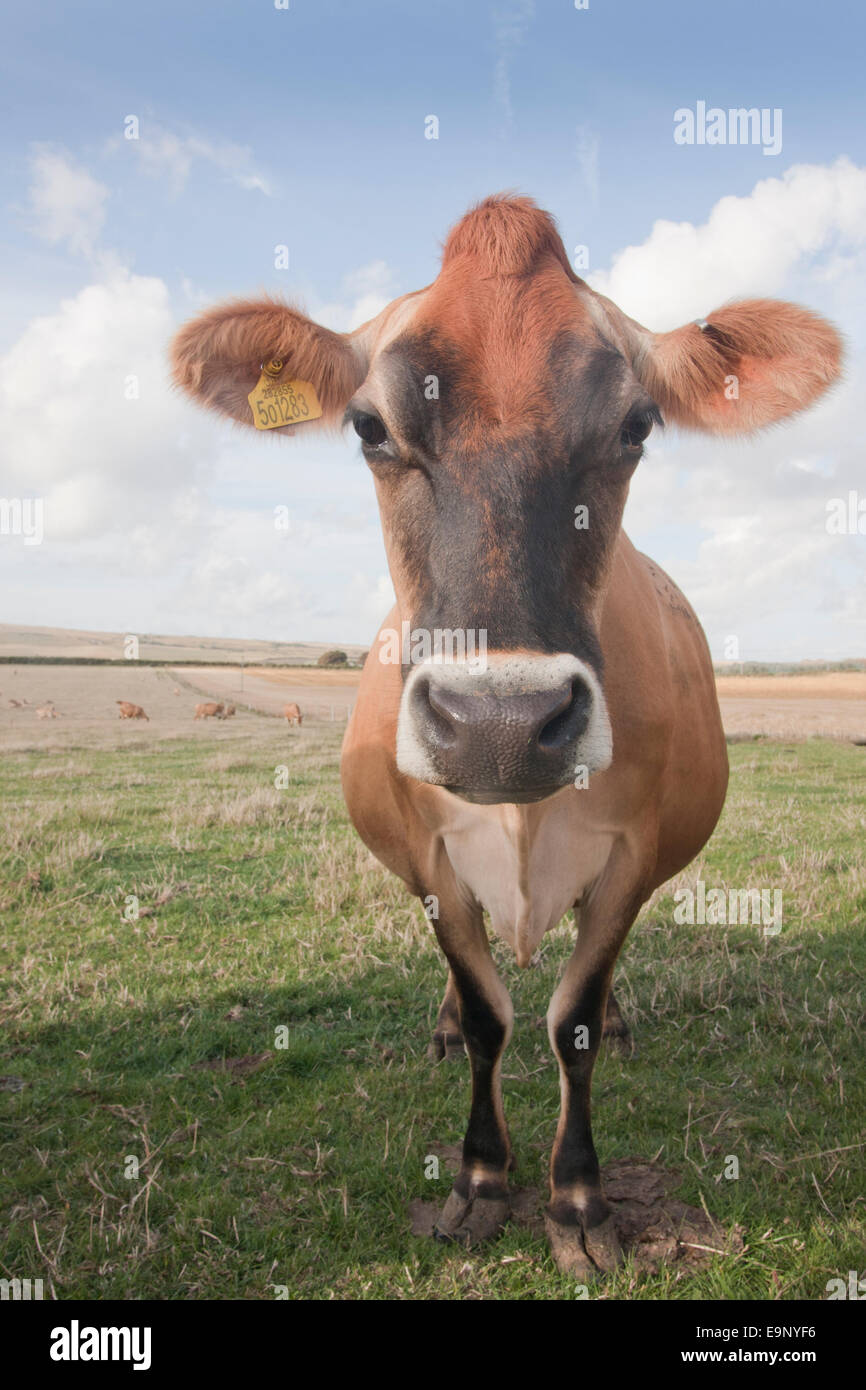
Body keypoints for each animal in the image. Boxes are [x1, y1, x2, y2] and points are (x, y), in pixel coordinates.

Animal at [172, 195, 842, 1277]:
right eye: (370, 427)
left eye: (635, 425)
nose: (500, 726)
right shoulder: (432, 857)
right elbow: (491, 1017)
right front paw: (481, 1177)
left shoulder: (632, 856)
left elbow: (570, 1022)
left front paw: (578, 1196)